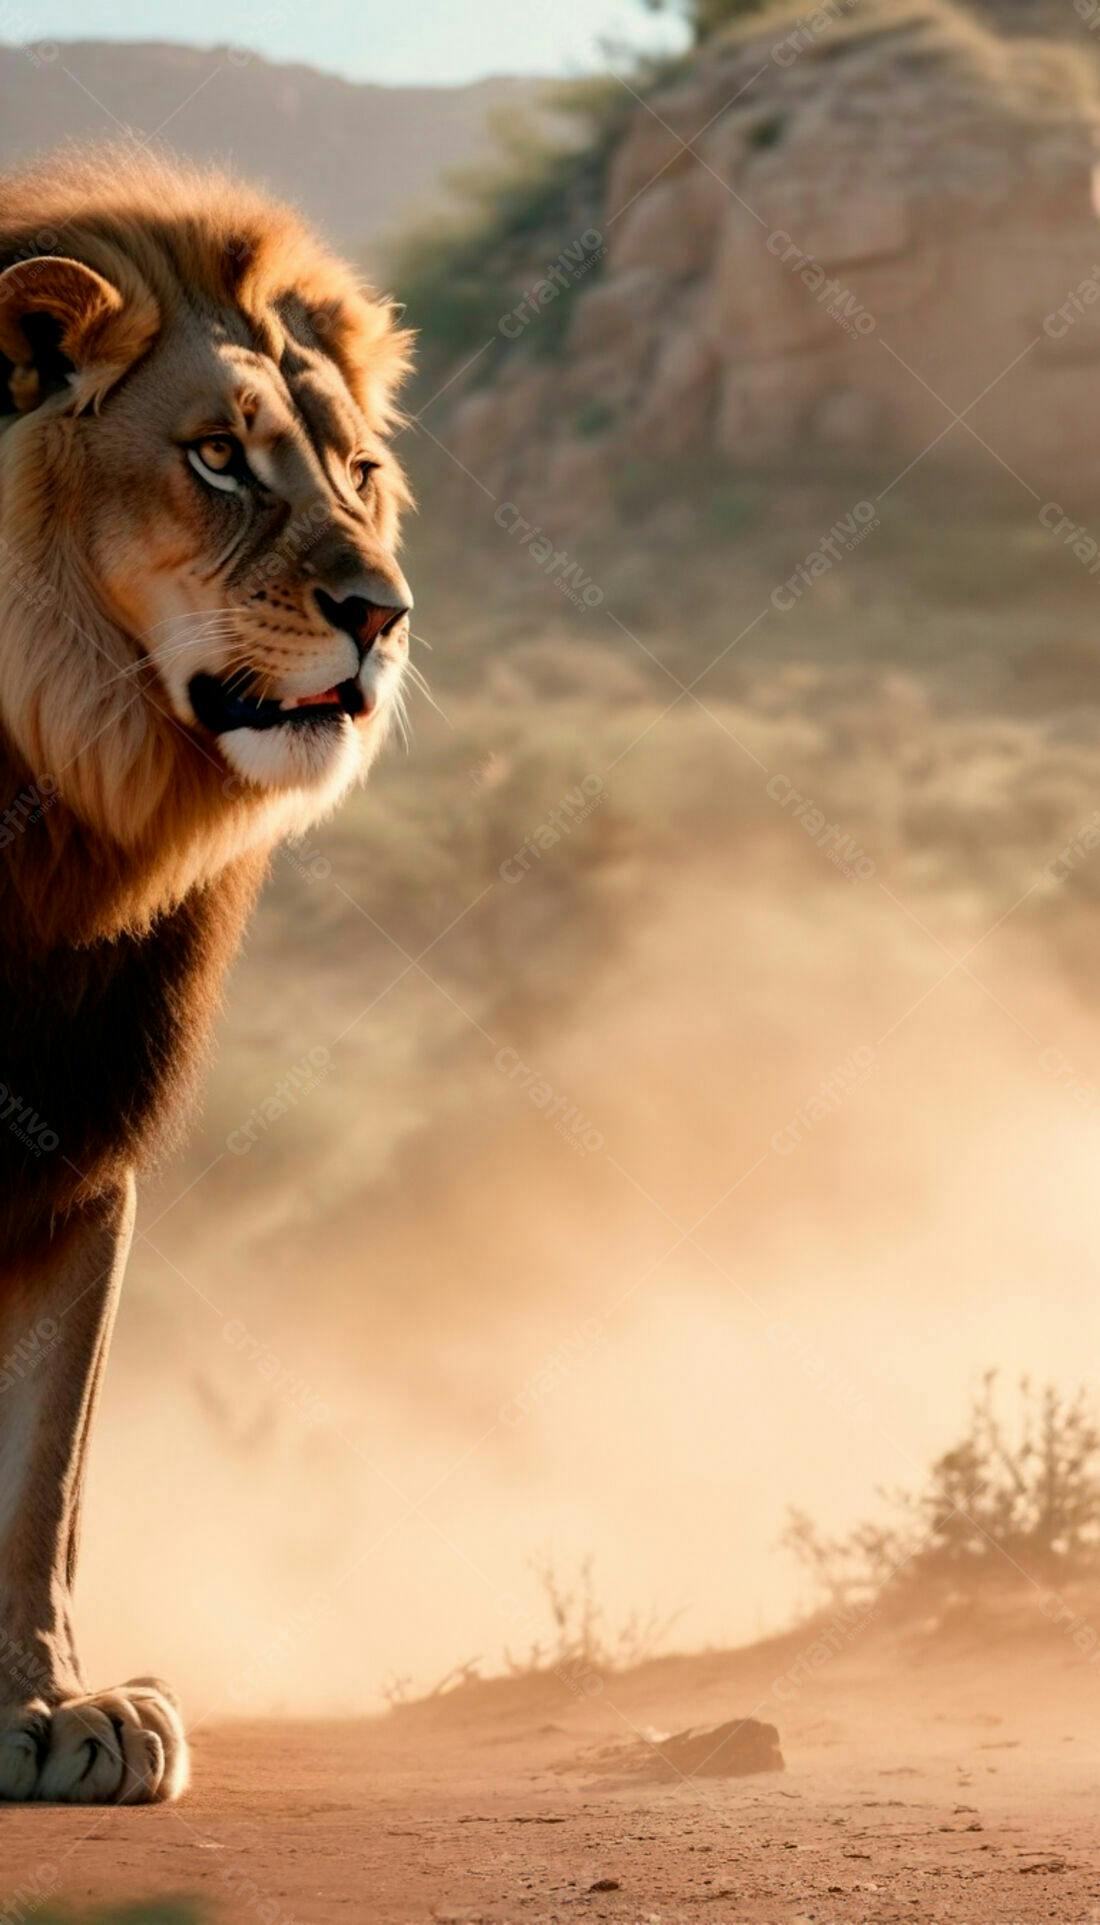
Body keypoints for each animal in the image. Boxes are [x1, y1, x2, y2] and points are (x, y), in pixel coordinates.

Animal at [0, 145, 414, 1802]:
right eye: (219, 460)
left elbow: (41, 1469)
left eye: (356, 473)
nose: (382, 615)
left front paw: (50, 1709)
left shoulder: (77, 1136)